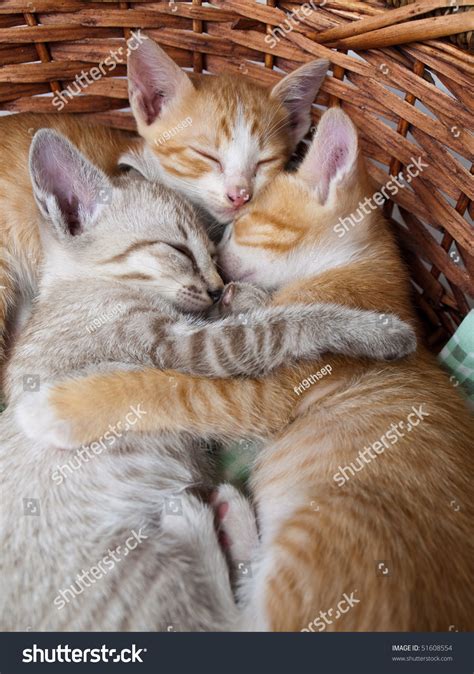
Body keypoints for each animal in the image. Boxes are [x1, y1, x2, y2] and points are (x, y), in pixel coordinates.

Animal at [26, 110, 474, 632]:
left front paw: (57, 409)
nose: (220, 273)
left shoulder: (259, 394)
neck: (357, 273)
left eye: (241, 224)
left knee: (232, 624)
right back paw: (232, 519)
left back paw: (200, 521)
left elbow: (169, 387)